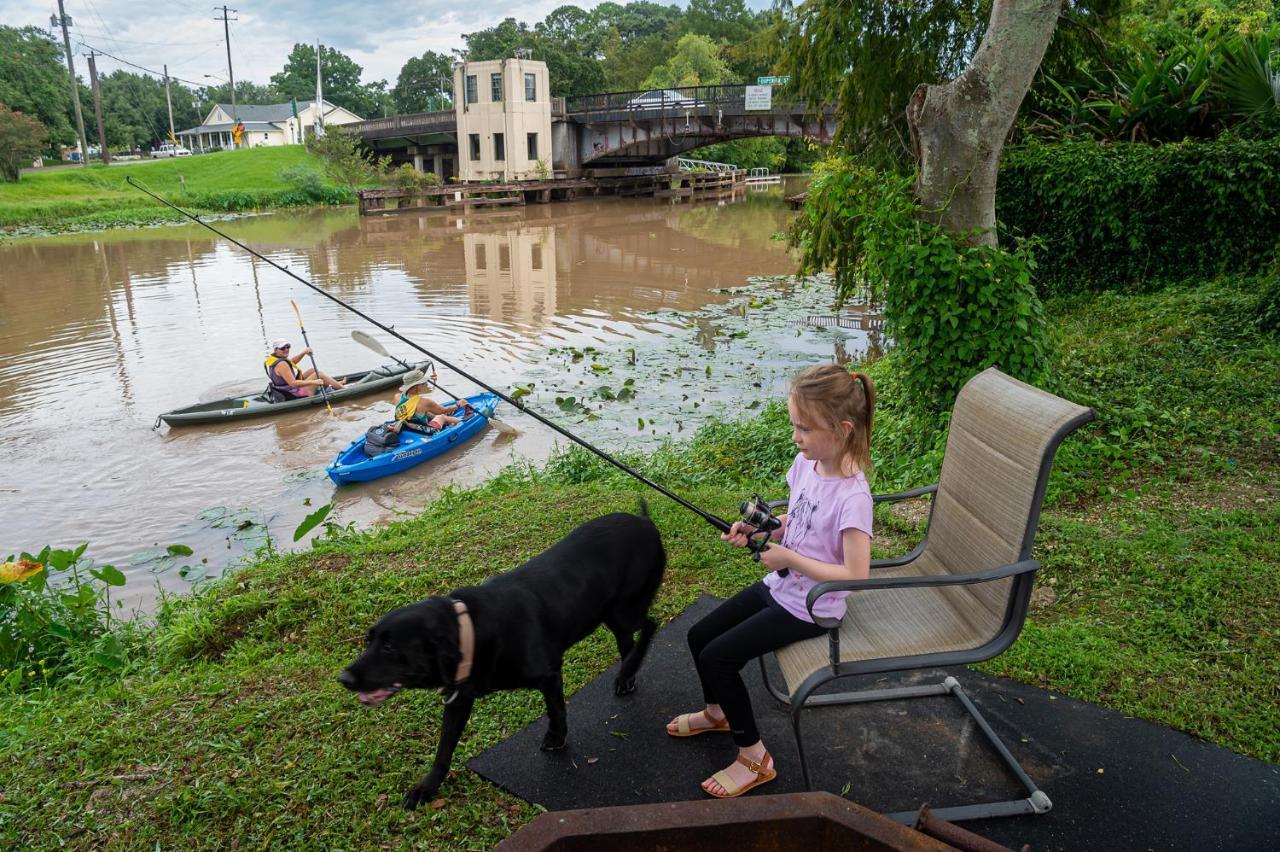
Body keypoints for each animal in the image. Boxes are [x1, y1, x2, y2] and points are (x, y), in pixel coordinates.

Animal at [335, 506, 665, 808]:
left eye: (390, 647)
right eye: (370, 640)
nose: (344, 678)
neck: (470, 630)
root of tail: (645, 521)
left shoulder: (549, 676)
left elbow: (556, 711)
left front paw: (556, 739)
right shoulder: (459, 700)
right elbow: (443, 749)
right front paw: (426, 788)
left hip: (622, 610)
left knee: (651, 624)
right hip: (613, 615)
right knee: (629, 642)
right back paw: (627, 675)